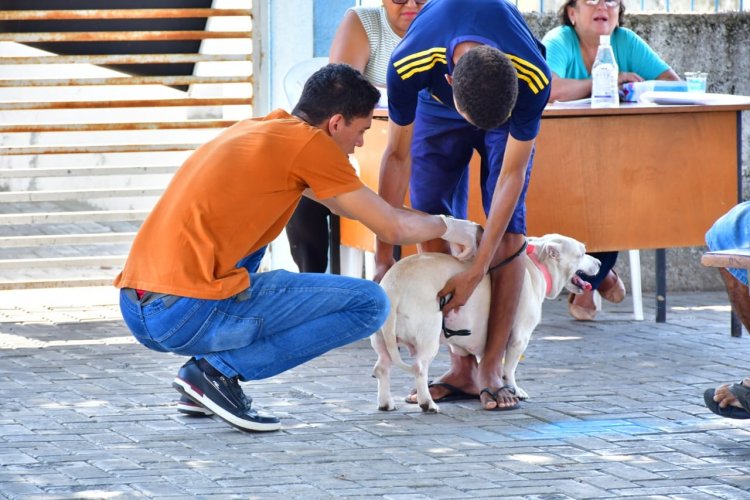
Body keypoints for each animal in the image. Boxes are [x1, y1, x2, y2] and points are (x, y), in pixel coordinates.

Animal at [374, 234, 604, 414]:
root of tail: (395, 284)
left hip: (382, 341)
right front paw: (514, 390)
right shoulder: (519, 338)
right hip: (428, 337)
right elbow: (509, 369)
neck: (536, 264)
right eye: (582, 253)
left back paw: (386, 403)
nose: (600, 263)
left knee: (382, 367)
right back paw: (427, 403)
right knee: (419, 368)